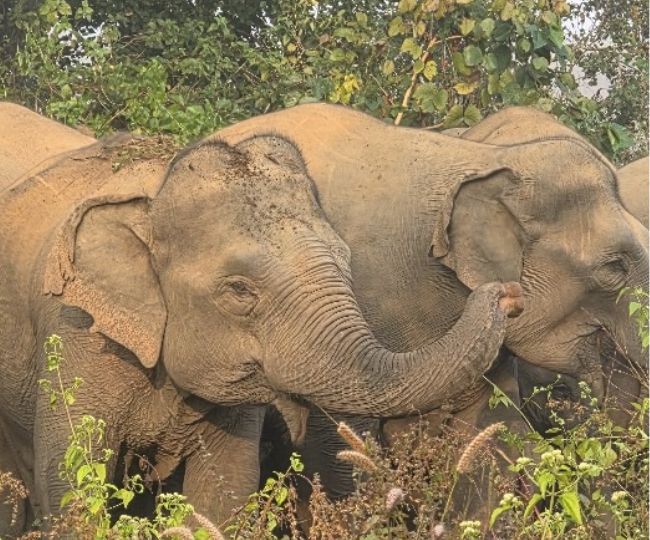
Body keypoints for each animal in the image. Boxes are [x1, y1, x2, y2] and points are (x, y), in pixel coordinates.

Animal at [0, 114, 521, 533]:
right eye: (239, 290)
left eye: (345, 259)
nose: (507, 293)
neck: (158, 191)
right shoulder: (77, 335)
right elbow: (72, 486)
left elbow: (225, 491)